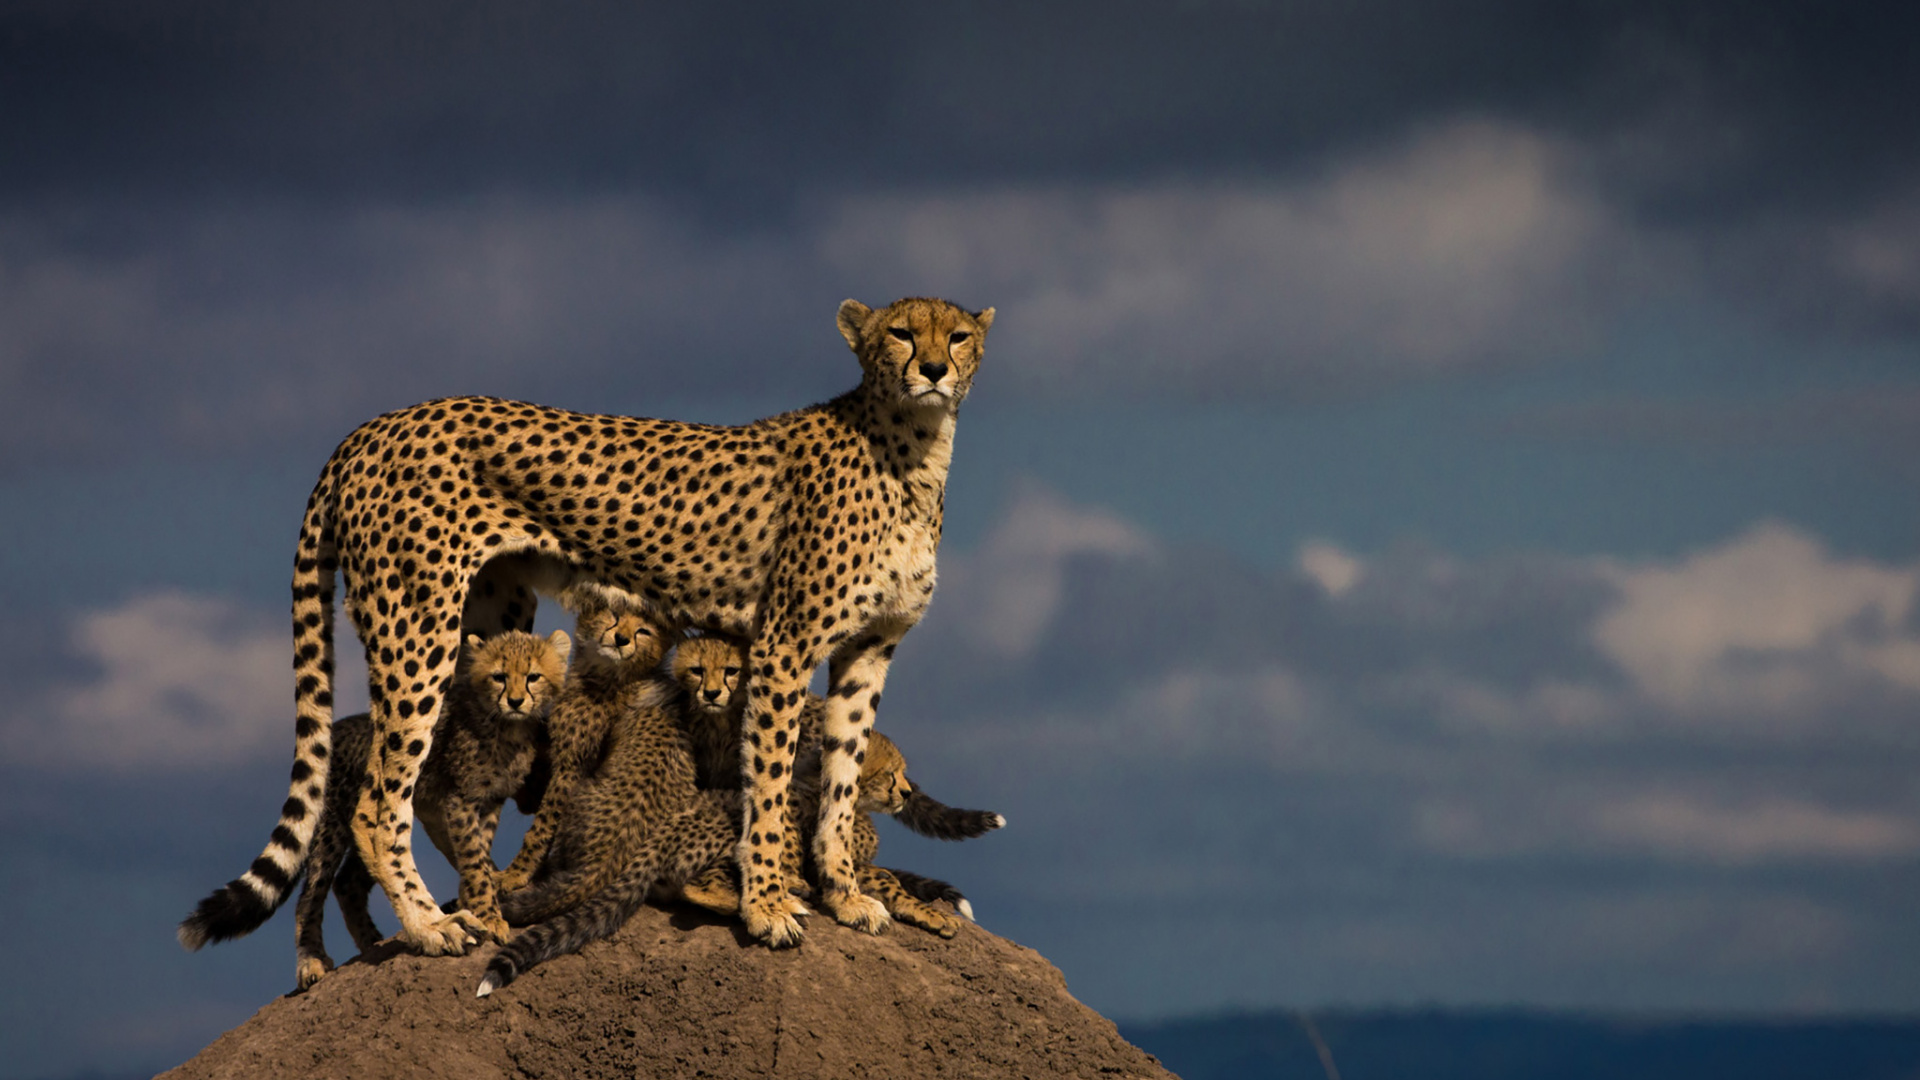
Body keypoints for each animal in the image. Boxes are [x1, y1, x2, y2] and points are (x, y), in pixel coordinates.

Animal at [206, 294, 990, 949]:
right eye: (900, 333)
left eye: (957, 335)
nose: (931, 369)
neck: (914, 450)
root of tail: (370, 427)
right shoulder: (783, 644)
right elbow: (768, 784)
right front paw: (768, 906)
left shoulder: (869, 650)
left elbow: (841, 776)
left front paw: (846, 895)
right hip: (416, 627)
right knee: (377, 802)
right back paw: (432, 927)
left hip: (491, 618)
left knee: (451, 786)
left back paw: (485, 900)